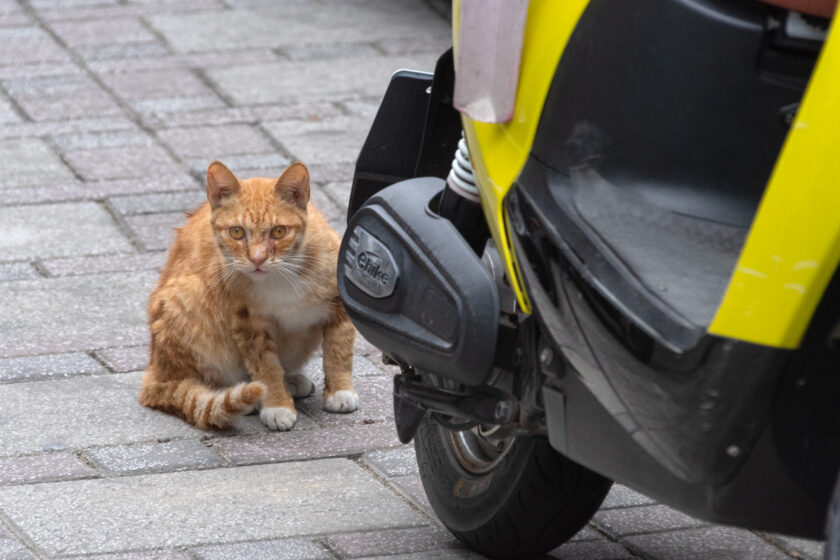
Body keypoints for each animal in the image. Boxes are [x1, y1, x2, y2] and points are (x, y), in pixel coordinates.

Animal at [141, 160, 358, 430]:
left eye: (278, 231)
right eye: (236, 232)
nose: (257, 259)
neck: (280, 278)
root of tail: (155, 370)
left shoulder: (340, 301)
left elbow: (339, 351)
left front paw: (340, 389)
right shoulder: (248, 322)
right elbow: (266, 368)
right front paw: (277, 404)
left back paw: (292, 382)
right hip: (187, 297)